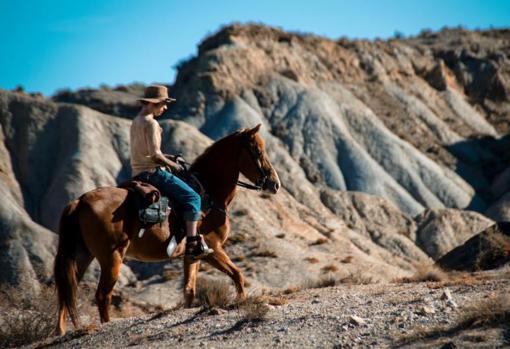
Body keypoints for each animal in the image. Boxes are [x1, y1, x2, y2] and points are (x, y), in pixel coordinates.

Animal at [53, 124, 280, 334]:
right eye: (258, 152)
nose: (275, 184)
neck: (209, 193)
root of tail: (80, 201)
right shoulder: (213, 249)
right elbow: (237, 275)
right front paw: (241, 301)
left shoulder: (192, 256)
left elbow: (189, 290)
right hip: (112, 258)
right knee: (102, 295)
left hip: (82, 256)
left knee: (67, 291)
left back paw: (61, 331)